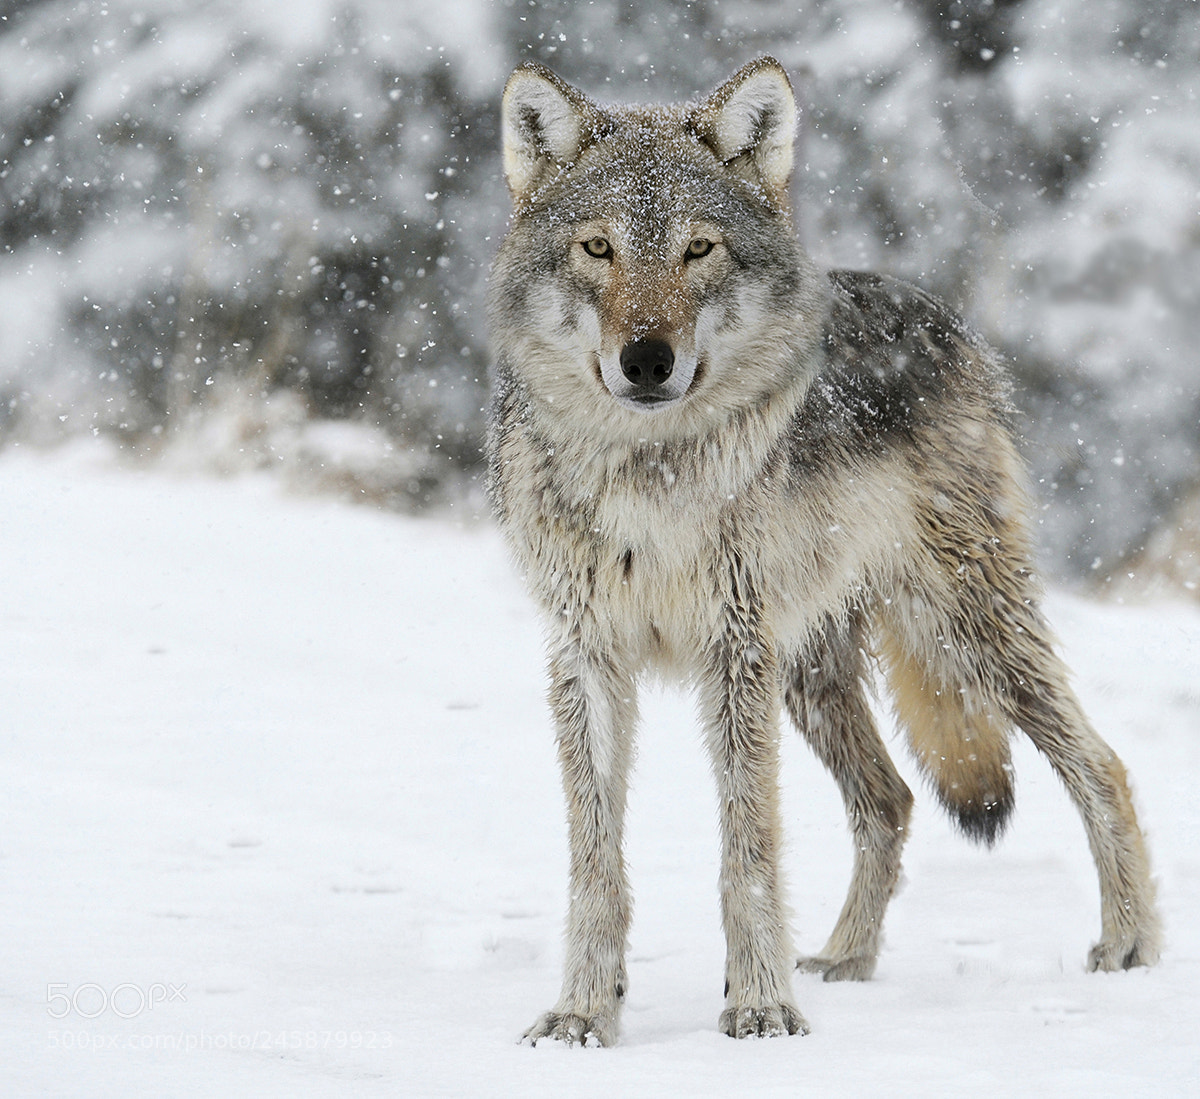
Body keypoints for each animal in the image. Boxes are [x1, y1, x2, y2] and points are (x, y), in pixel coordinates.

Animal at [486, 57, 1161, 1046]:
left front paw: (761, 1005)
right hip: (811, 673)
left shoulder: (734, 652)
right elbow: (596, 860)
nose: (646, 360)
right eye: (598, 249)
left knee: (1100, 763)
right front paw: (582, 1011)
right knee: (891, 798)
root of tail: (950, 321)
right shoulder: (588, 655)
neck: (649, 475)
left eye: (698, 250)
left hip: (962, 632)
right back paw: (847, 959)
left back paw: (1131, 944)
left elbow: (749, 845)